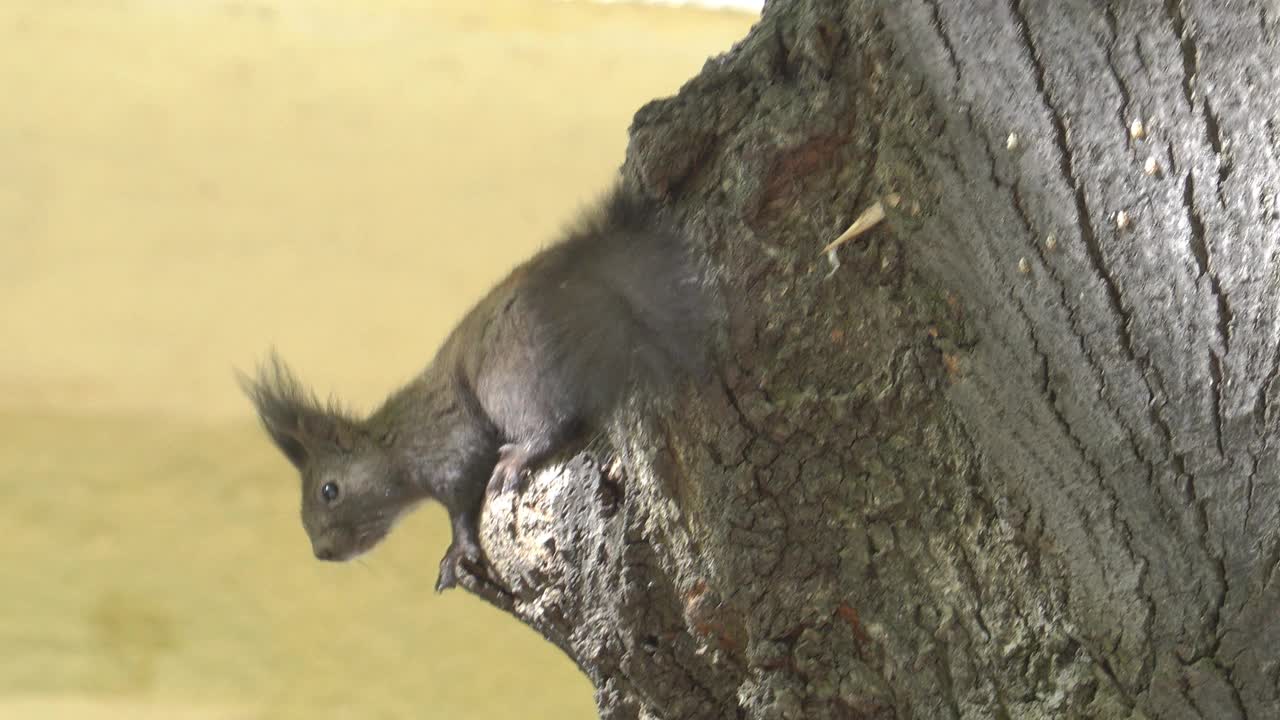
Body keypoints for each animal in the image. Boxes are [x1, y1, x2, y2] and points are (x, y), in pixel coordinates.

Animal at [235, 183, 706, 589]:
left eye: (328, 490)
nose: (323, 552)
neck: (394, 445)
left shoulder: (448, 446)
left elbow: (462, 497)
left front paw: (456, 551)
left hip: (511, 378)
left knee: (550, 424)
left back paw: (518, 456)